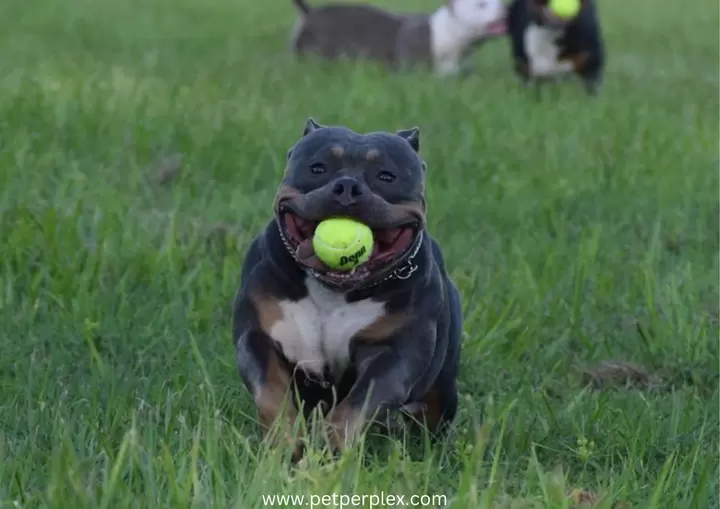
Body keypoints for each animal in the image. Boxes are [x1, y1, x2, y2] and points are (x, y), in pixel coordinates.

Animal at [233, 119, 464, 460]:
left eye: (386, 176)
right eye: (317, 168)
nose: (347, 187)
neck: (334, 291)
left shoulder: (394, 354)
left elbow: (358, 404)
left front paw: (331, 450)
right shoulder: (258, 337)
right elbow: (272, 393)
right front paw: (284, 443)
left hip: (443, 387)